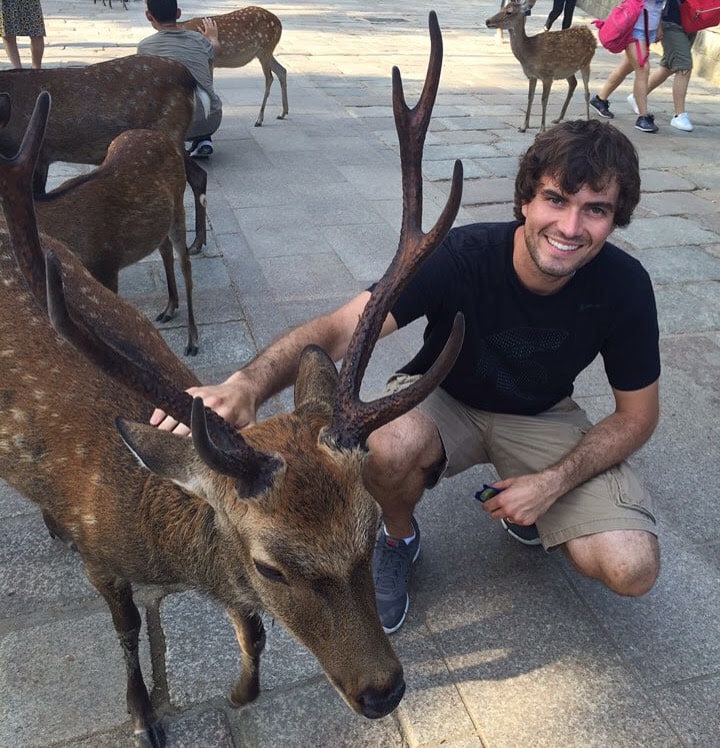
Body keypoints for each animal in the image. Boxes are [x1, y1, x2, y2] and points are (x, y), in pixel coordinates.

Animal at [0, 54, 208, 254]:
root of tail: (191, 80)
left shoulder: (39, 154)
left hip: (169, 130)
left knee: (195, 176)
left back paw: (194, 244)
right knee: (199, 174)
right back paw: (197, 243)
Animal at [486, 0, 600, 131]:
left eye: (509, 12)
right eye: (502, 8)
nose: (487, 21)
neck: (530, 52)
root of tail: (590, 33)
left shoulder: (548, 75)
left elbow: (544, 100)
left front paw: (541, 129)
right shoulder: (532, 76)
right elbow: (530, 97)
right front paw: (524, 126)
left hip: (586, 63)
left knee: (587, 93)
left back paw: (588, 120)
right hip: (568, 70)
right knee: (573, 83)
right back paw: (558, 118)